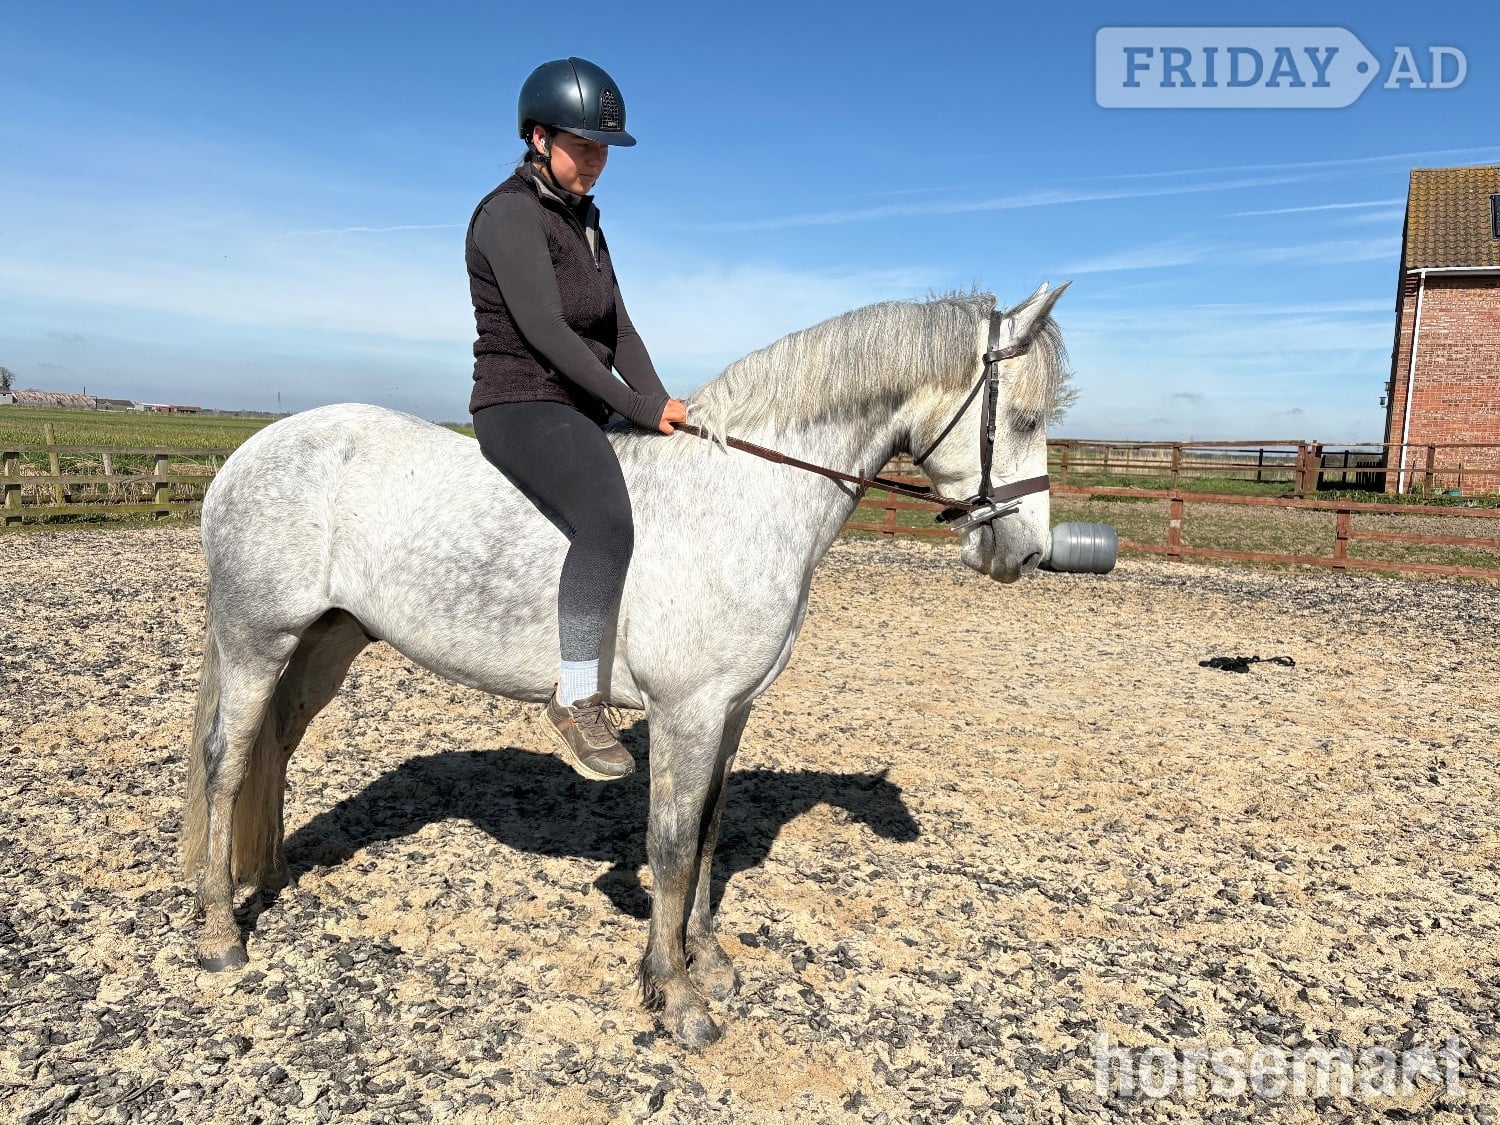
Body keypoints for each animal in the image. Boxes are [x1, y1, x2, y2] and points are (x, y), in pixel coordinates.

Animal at [179, 283, 1072, 1049]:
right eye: (1024, 416)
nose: (1027, 553)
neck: (743, 494)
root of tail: (248, 454)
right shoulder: (687, 710)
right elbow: (671, 844)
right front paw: (676, 995)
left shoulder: (731, 710)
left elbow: (710, 829)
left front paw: (707, 959)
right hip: (258, 639)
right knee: (228, 762)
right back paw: (221, 932)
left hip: (328, 640)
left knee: (275, 748)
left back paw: (273, 876)